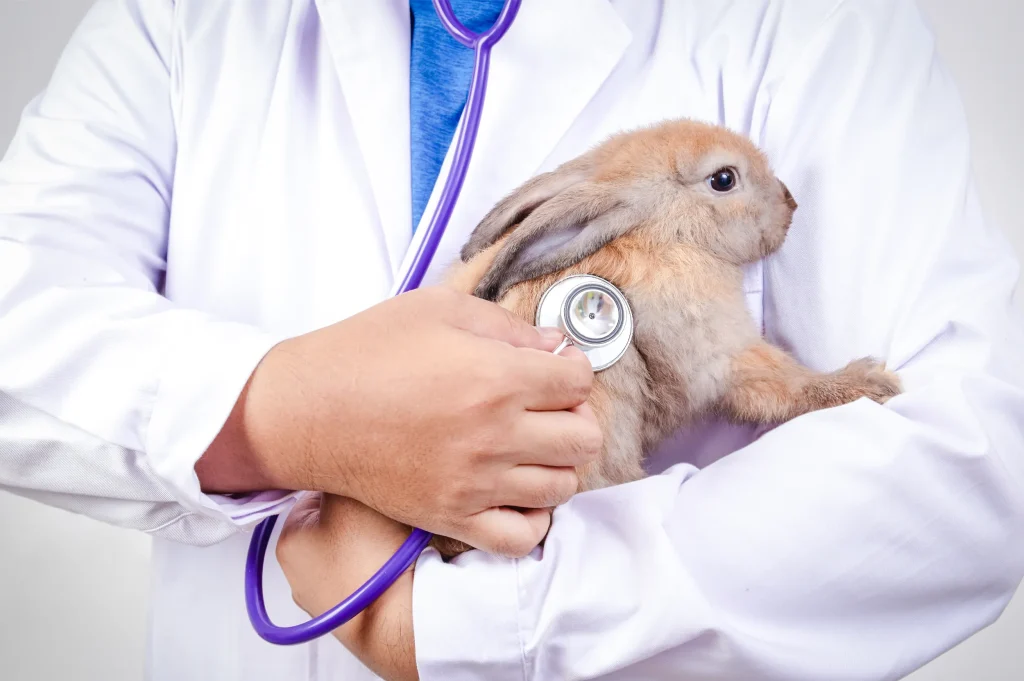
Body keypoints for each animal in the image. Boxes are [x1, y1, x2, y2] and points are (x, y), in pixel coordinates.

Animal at [431, 118, 902, 558]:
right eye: (724, 179)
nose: (791, 201)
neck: (665, 230)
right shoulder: (721, 355)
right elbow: (782, 384)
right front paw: (870, 383)